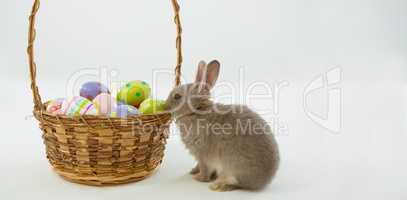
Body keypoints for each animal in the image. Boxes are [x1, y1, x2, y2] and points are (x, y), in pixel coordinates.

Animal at [166, 60, 280, 191]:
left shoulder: (203, 155)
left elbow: (204, 170)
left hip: (233, 167)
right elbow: (198, 166)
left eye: (177, 96)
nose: (165, 105)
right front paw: (193, 171)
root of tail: (262, 182)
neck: (196, 111)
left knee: (237, 184)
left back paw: (218, 186)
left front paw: (198, 178)